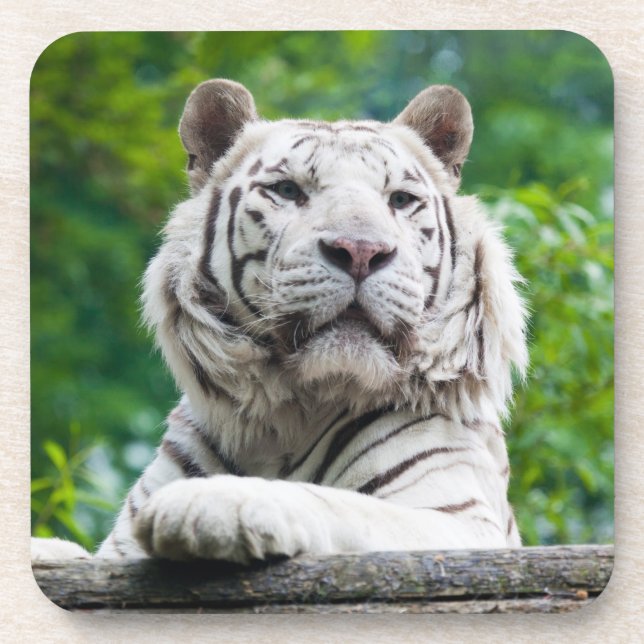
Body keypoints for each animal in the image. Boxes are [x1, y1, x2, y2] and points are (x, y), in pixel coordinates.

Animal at [32, 78, 528, 564]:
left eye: (401, 200)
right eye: (288, 191)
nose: (360, 251)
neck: (284, 419)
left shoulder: (458, 518)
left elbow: (338, 503)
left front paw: (209, 502)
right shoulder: (118, 546)